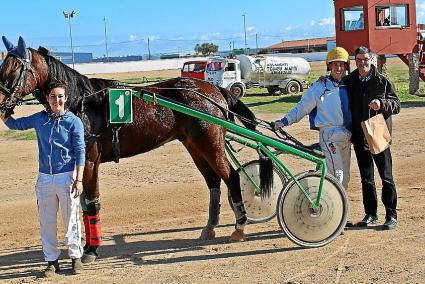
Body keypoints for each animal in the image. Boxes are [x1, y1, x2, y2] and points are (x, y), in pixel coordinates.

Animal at [0, 36, 272, 262]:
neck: (83, 102)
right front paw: (87, 247)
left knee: (232, 177)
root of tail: (216, 90)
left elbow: (91, 202)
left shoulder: (90, 161)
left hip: (211, 143)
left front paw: (91, 250)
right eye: (3, 66)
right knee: (213, 181)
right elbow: (85, 203)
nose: (1, 103)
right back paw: (210, 227)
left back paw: (240, 226)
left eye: (14, 69)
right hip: (194, 145)